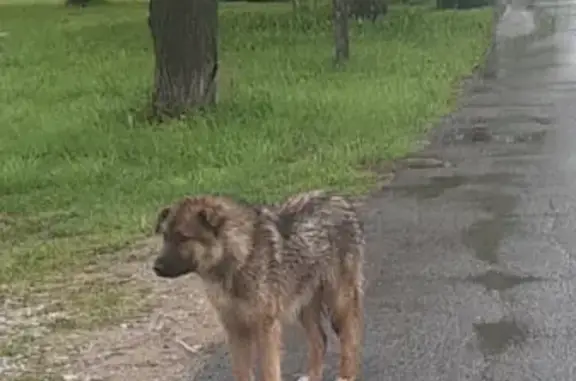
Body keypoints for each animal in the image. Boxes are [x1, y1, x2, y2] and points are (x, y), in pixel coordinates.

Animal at [153, 190, 364, 380]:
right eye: (165, 236)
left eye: (183, 237)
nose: (155, 267)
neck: (240, 256)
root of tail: (341, 200)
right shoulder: (235, 329)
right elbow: (241, 372)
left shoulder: (266, 328)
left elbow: (269, 371)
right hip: (304, 304)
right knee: (320, 340)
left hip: (339, 301)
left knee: (350, 337)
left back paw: (346, 375)